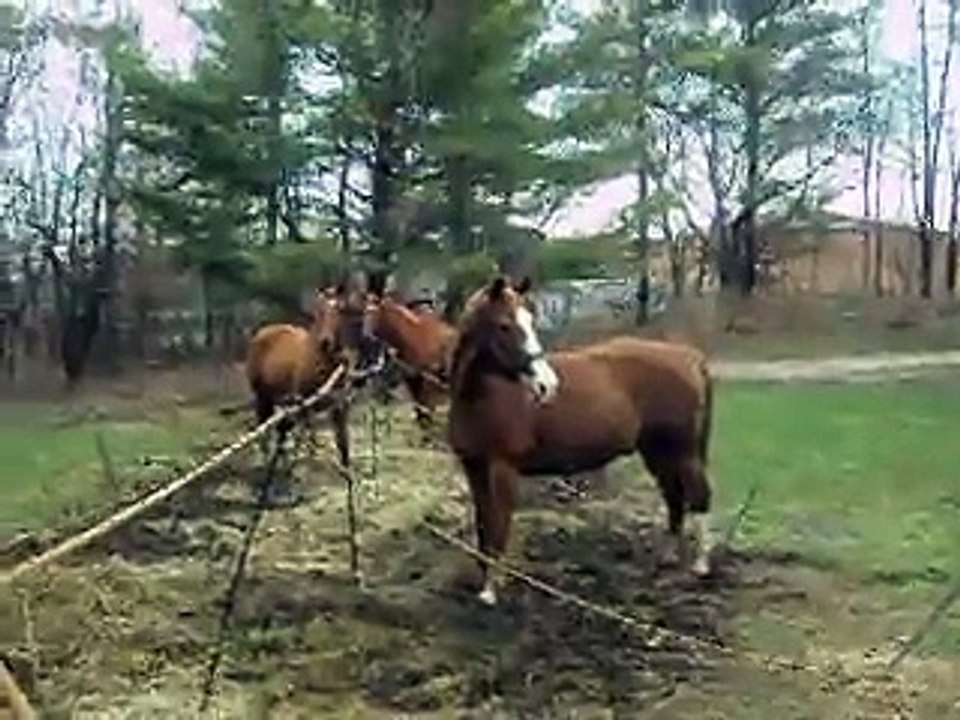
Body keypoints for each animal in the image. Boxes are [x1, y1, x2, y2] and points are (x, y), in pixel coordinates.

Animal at [448, 275, 716, 605]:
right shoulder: (474, 467)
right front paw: (483, 580)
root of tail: (690, 356)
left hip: (683, 451)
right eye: (504, 325)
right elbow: (483, 525)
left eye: (531, 321)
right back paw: (666, 558)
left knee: (698, 496)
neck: (482, 396)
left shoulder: (503, 468)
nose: (546, 386)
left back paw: (701, 566)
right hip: (657, 451)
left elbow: (498, 527)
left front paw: (491, 589)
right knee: (674, 497)